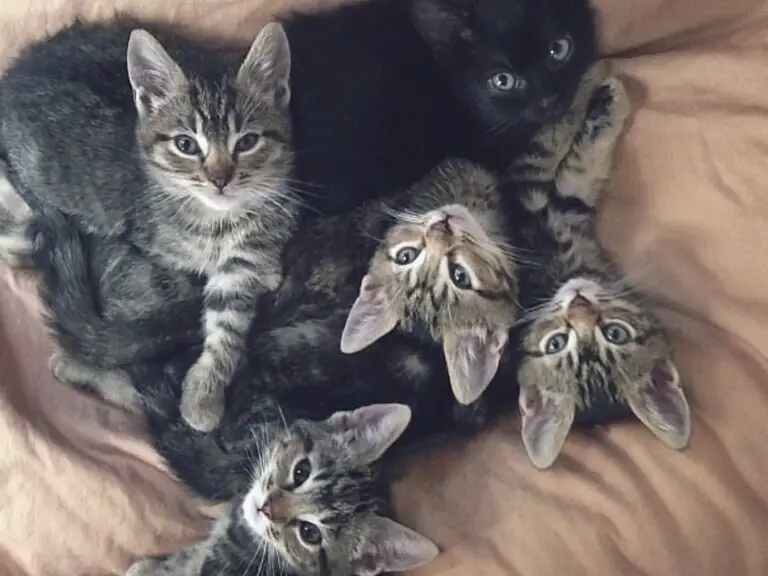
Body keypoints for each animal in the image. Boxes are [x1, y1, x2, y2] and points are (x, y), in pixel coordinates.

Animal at [0, 19, 296, 432]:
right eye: (186, 145)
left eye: (248, 141)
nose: (220, 180)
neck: (220, 220)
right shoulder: (157, 247)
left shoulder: (245, 258)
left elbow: (228, 323)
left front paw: (203, 393)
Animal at [508, 77, 692, 468]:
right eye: (556, 343)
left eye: (616, 333)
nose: (578, 303)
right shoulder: (535, 196)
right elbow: (556, 152)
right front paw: (593, 97)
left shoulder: (554, 203)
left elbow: (569, 164)